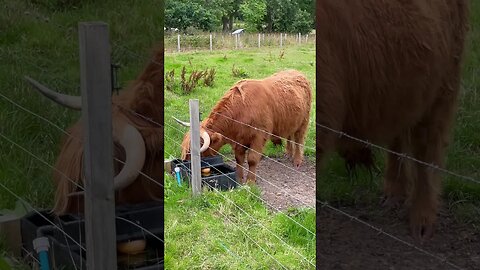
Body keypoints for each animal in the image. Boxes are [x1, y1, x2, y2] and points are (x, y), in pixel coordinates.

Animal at [176, 69, 312, 184]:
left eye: (195, 149)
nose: (185, 164)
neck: (241, 110)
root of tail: (297, 72)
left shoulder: (259, 137)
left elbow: (252, 159)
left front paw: (250, 181)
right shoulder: (239, 140)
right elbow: (239, 159)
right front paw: (239, 178)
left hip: (304, 121)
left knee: (299, 140)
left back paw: (297, 161)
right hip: (291, 122)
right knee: (290, 136)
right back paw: (289, 153)